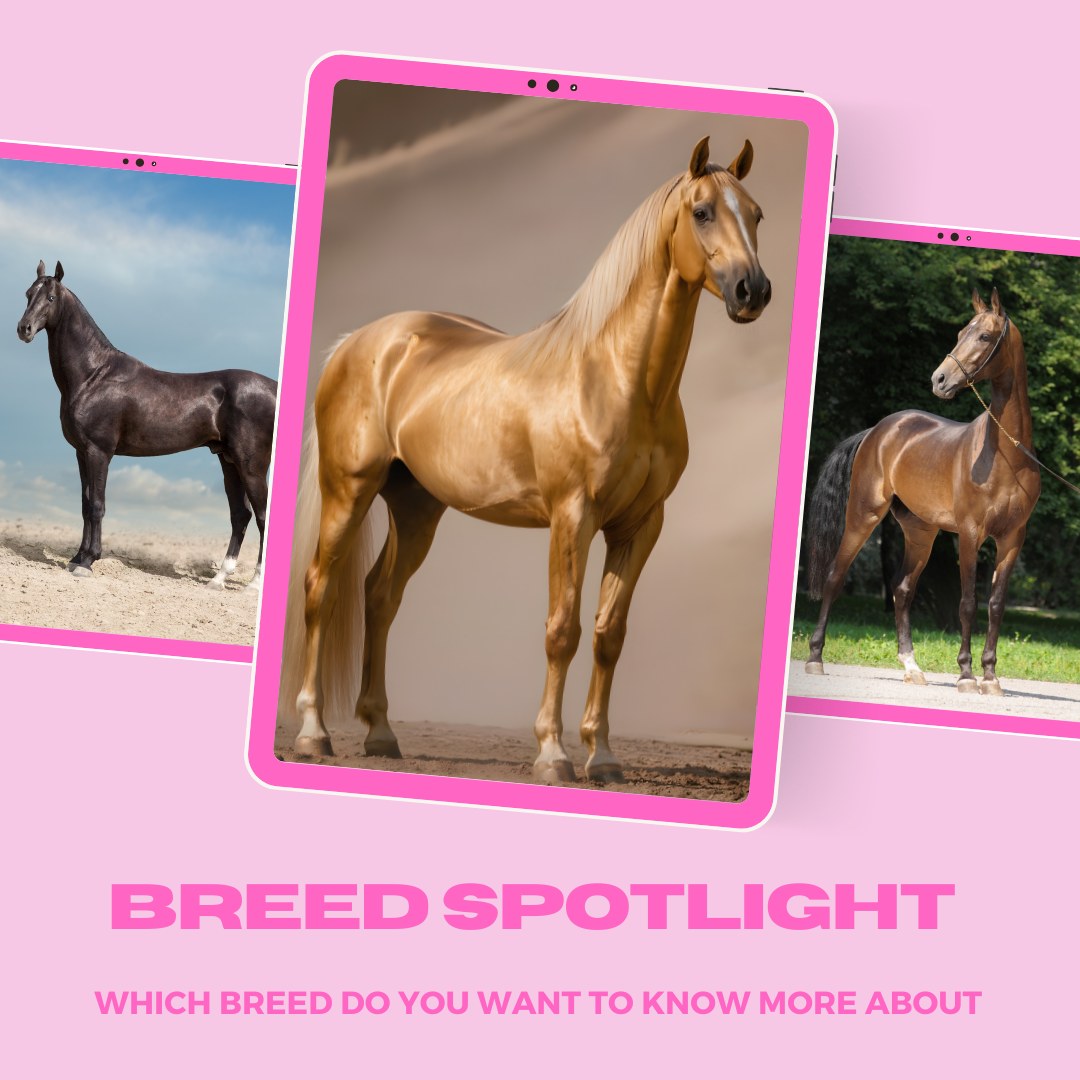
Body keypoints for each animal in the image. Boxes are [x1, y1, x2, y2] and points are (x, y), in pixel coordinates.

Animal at [16, 261, 278, 590]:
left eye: (50, 298)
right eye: (28, 294)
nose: (23, 329)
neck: (94, 374)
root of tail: (273, 387)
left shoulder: (99, 451)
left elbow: (97, 505)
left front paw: (88, 562)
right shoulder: (81, 452)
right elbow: (85, 504)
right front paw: (77, 558)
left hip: (251, 465)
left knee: (262, 515)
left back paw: (254, 583)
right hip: (229, 461)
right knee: (240, 515)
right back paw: (218, 579)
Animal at [282, 136, 771, 784]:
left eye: (758, 214)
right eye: (702, 211)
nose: (752, 291)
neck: (620, 380)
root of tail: (356, 342)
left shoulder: (640, 525)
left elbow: (608, 634)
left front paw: (603, 758)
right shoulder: (572, 518)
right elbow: (562, 631)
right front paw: (553, 754)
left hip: (416, 509)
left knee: (380, 597)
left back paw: (381, 734)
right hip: (349, 492)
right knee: (322, 589)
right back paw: (313, 732)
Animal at [803, 287, 1041, 694]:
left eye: (984, 336)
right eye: (960, 332)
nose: (939, 379)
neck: (1007, 454)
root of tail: (876, 431)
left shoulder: (1012, 538)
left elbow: (995, 605)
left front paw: (990, 676)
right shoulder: (970, 534)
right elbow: (967, 603)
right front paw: (966, 675)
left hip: (921, 533)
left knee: (901, 590)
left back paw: (912, 667)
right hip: (863, 516)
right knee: (835, 576)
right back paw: (816, 658)